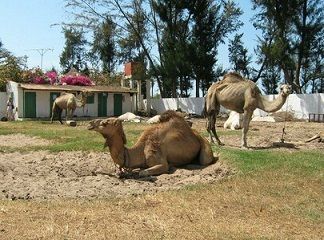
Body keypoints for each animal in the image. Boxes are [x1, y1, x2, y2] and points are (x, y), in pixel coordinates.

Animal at [88, 110, 218, 176]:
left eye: (105, 123)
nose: (90, 123)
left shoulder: (160, 161)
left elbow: (142, 173)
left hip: (205, 148)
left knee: (205, 160)